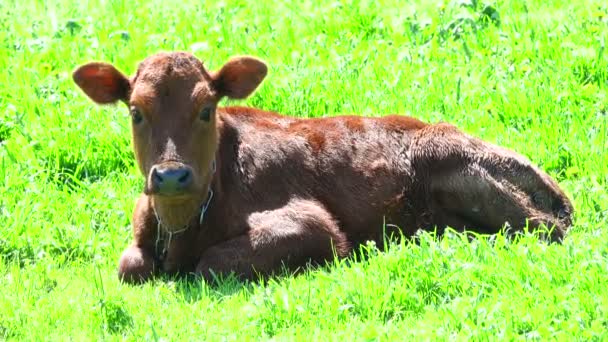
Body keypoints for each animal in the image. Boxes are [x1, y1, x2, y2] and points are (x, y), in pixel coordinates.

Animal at [73, 52, 572, 284]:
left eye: (206, 109)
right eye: (135, 111)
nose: (171, 175)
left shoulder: (315, 225)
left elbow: (212, 263)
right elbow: (130, 264)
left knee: (541, 230)